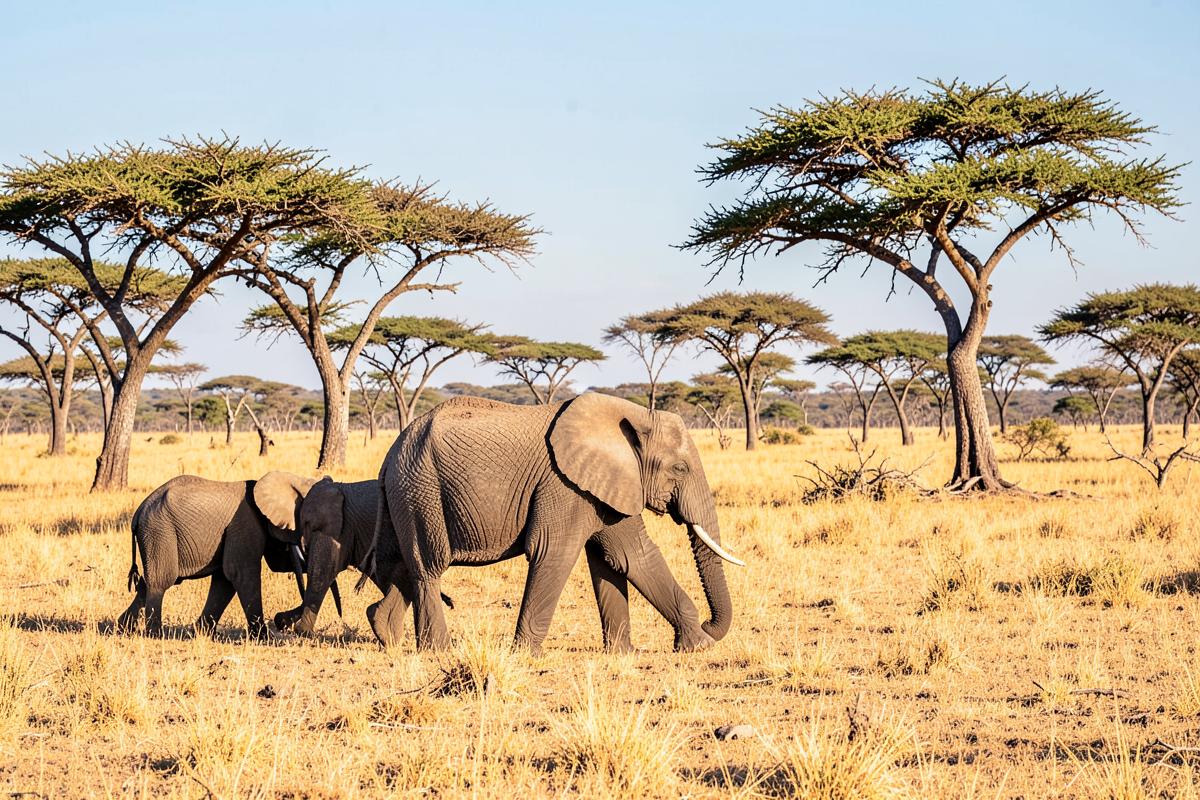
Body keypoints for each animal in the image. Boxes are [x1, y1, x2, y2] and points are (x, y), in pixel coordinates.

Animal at [117, 471, 318, 639]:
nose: (279, 620)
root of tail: (138, 512)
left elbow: (225, 580)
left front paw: (200, 633)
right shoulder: (245, 525)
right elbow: (240, 574)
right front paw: (264, 638)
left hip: (154, 535)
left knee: (146, 583)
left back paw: (123, 629)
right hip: (159, 531)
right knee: (162, 581)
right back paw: (156, 635)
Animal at [365, 391, 743, 654]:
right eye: (679, 468)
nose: (710, 623)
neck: (632, 415)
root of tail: (390, 455)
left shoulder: (603, 485)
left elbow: (630, 556)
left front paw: (643, 652)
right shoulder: (562, 485)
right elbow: (553, 553)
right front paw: (524, 655)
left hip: (409, 493)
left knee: (406, 566)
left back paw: (385, 634)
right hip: (419, 488)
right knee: (428, 567)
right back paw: (438, 651)